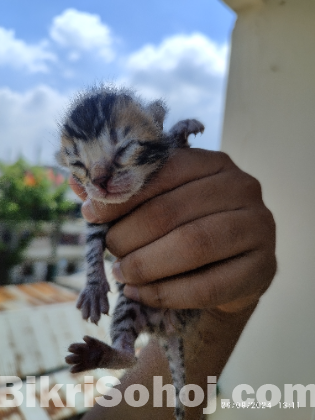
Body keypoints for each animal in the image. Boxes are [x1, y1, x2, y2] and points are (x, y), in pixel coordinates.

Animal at [56, 86, 205, 420]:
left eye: (124, 149)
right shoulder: (97, 213)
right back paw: (100, 353)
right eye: (79, 164)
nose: (100, 181)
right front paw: (93, 287)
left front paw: (180, 130)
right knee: (131, 356)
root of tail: (169, 330)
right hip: (129, 304)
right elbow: (91, 248)